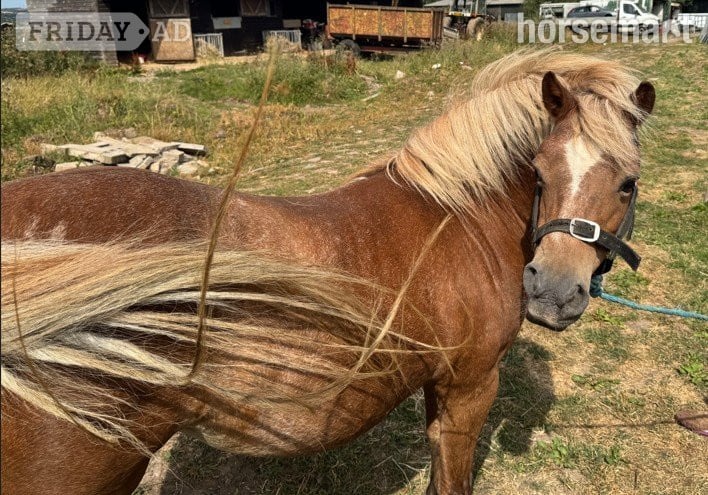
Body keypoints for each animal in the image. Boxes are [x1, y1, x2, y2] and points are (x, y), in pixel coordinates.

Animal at [0, 49, 655, 495]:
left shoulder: (439, 386)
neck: (458, 215)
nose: (553, 293)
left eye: (627, 182)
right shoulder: (472, 387)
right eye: (539, 173)